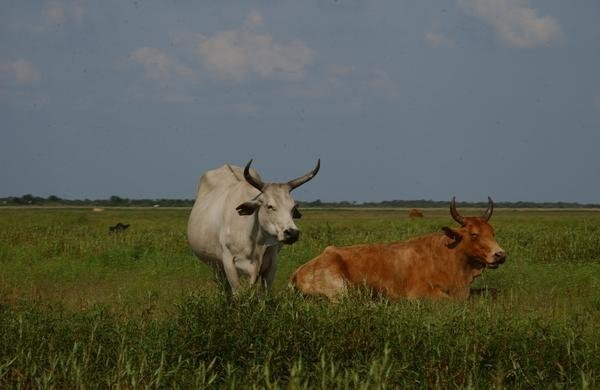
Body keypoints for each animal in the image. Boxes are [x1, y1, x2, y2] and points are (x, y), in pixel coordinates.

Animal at [186, 160, 318, 294]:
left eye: (293, 207)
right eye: (269, 206)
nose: (292, 233)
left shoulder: (272, 264)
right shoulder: (229, 263)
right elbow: (237, 292)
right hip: (216, 266)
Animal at [290, 197, 506, 300]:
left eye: (493, 233)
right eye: (474, 234)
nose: (500, 255)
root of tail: (298, 271)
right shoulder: (420, 293)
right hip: (340, 290)